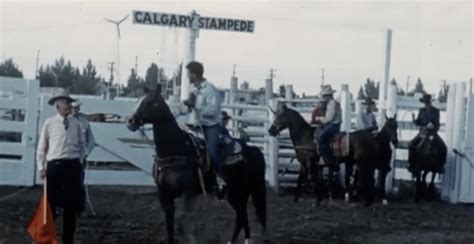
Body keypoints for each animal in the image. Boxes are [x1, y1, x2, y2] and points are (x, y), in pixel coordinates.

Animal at [126, 85, 268, 244]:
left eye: (150, 102)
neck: (177, 148)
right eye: (138, 101)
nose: (130, 121)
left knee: (242, 215)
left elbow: (184, 220)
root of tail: (254, 150)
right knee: (241, 217)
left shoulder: (190, 193)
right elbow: (171, 226)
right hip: (240, 193)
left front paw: (191, 237)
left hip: (236, 192)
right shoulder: (164, 195)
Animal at [268, 104, 398, 206]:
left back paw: (367, 201)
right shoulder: (303, 163)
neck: (305, 137)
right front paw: (295, 198)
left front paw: (317, 200)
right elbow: (300, 179)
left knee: (366, 180)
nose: (270, 130)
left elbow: (314, 180)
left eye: (281, 116)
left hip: (363, 164)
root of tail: (372, 137)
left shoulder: (311, 163)